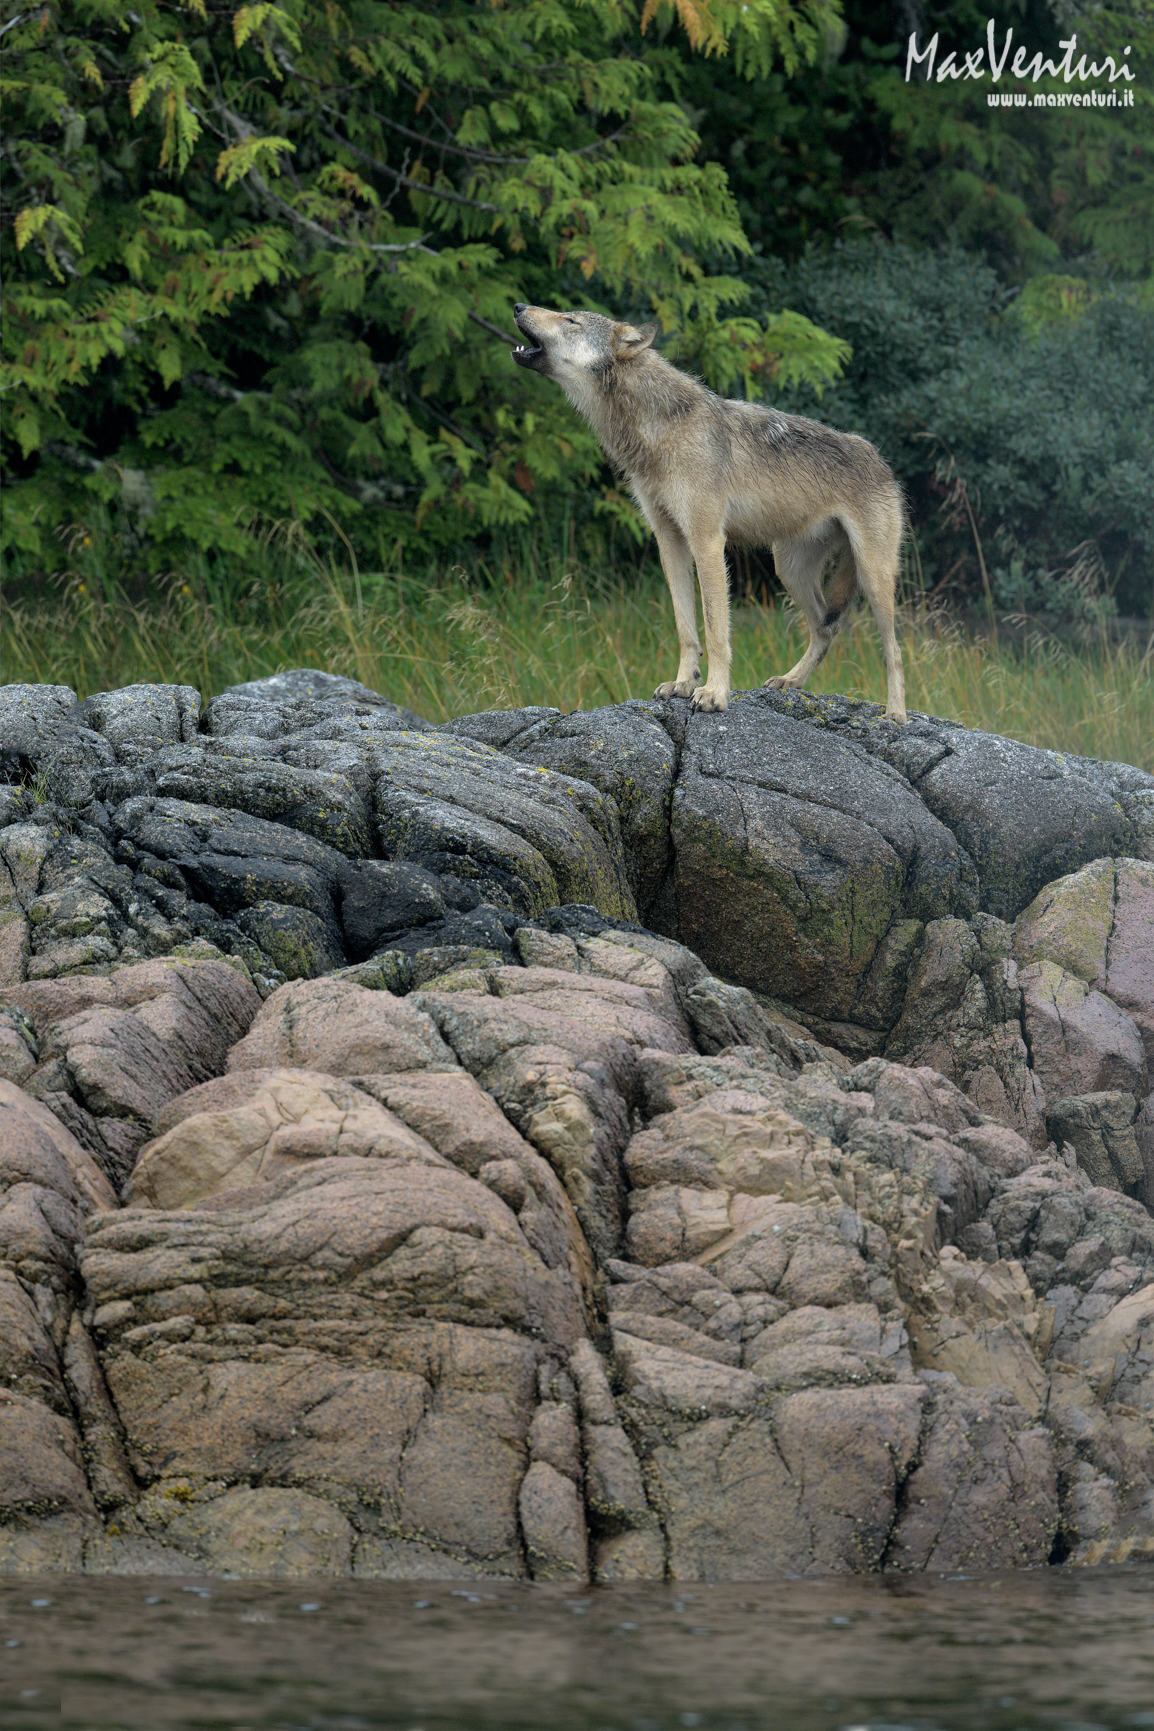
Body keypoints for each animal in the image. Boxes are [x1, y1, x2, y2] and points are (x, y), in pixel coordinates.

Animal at [511, 303, 907, 721]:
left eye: (571, 321)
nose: (519, 306)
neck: (655, 430)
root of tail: (880, 459)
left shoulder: (707, 540)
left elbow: (716, 628)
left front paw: (715, 693)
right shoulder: (669, 541)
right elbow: (686, 628)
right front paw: (683, 683)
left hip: (873, 577)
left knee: (893, 650)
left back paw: (896, 715)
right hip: (789, 570)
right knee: (826, 629)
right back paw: (790, 681)